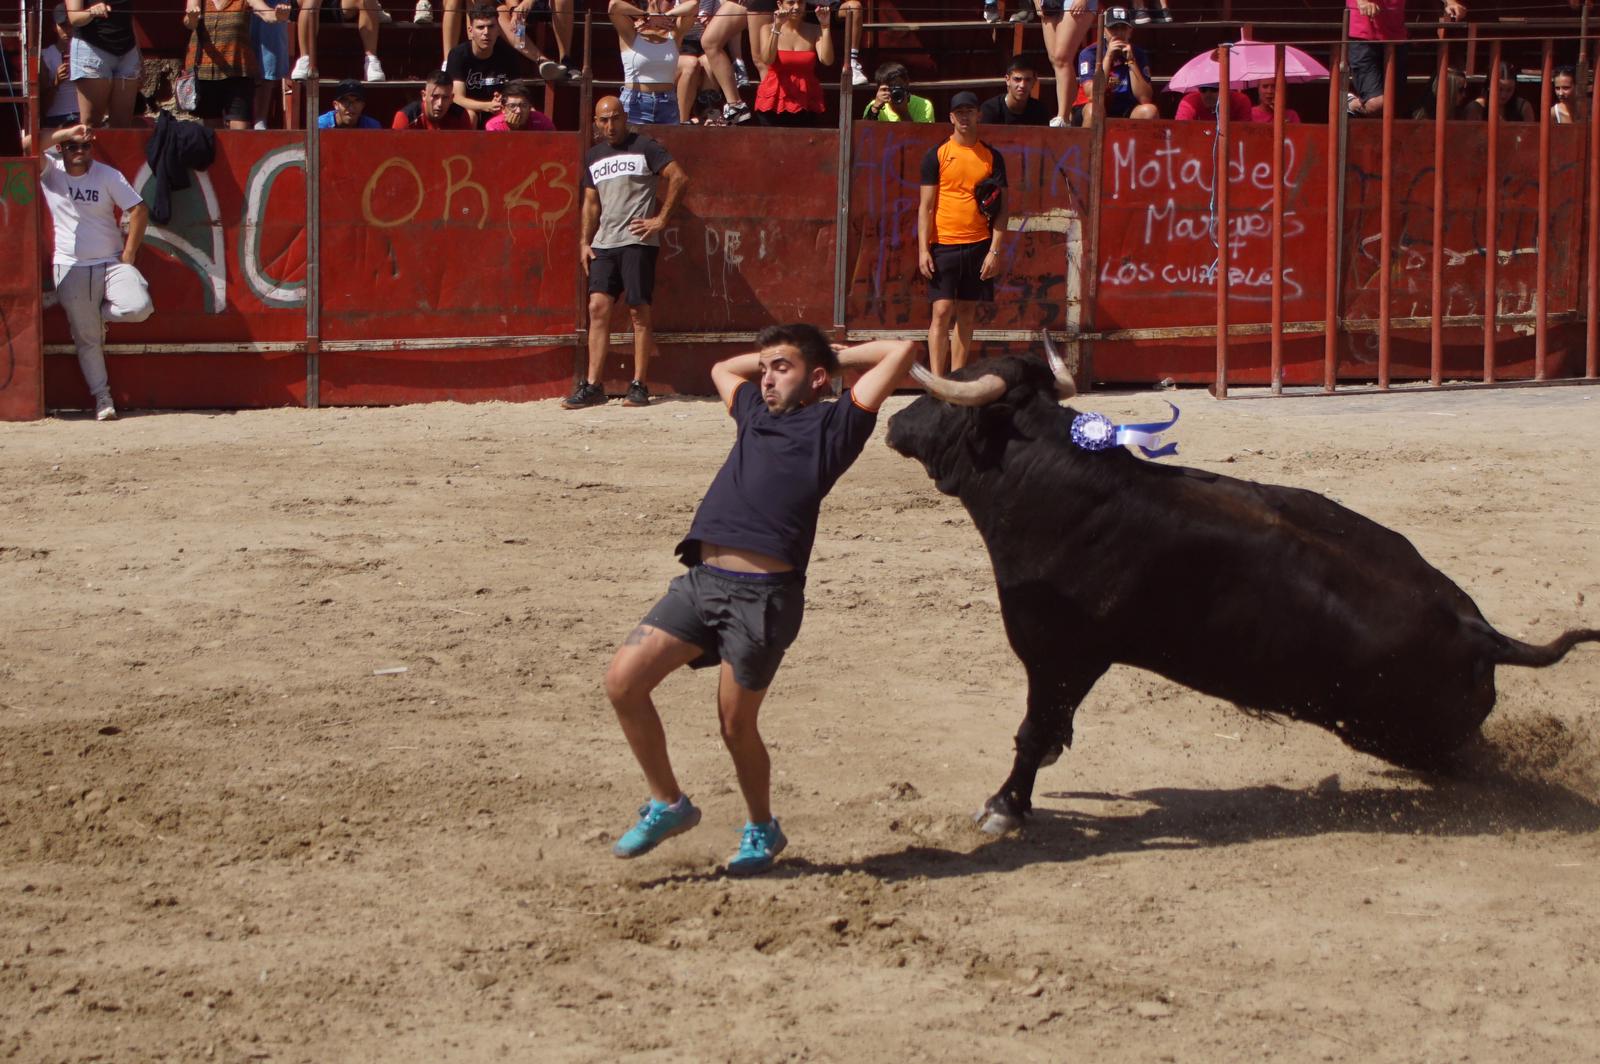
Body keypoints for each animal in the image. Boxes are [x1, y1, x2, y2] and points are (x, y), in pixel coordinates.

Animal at [889, 352, 1600, 832]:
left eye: (947, 398)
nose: (894, 422)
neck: (1052, 479)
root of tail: (1484, 633)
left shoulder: (1059, 655)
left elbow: (1034, 733)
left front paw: (1003, 808)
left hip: (1405, 730)